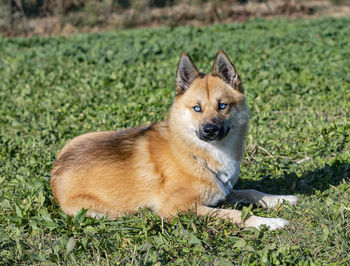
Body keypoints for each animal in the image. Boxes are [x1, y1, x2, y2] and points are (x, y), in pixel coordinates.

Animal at [51, 51, 298, 230]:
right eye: (197, 108)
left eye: (222, 105)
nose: (210, 130)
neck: (195, 153)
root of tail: (54, 171)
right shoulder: (177, 207)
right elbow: (235, 213)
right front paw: (268, 222)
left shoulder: (222, 191)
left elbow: (252, 191)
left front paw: (281, 199)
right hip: (100, 212)